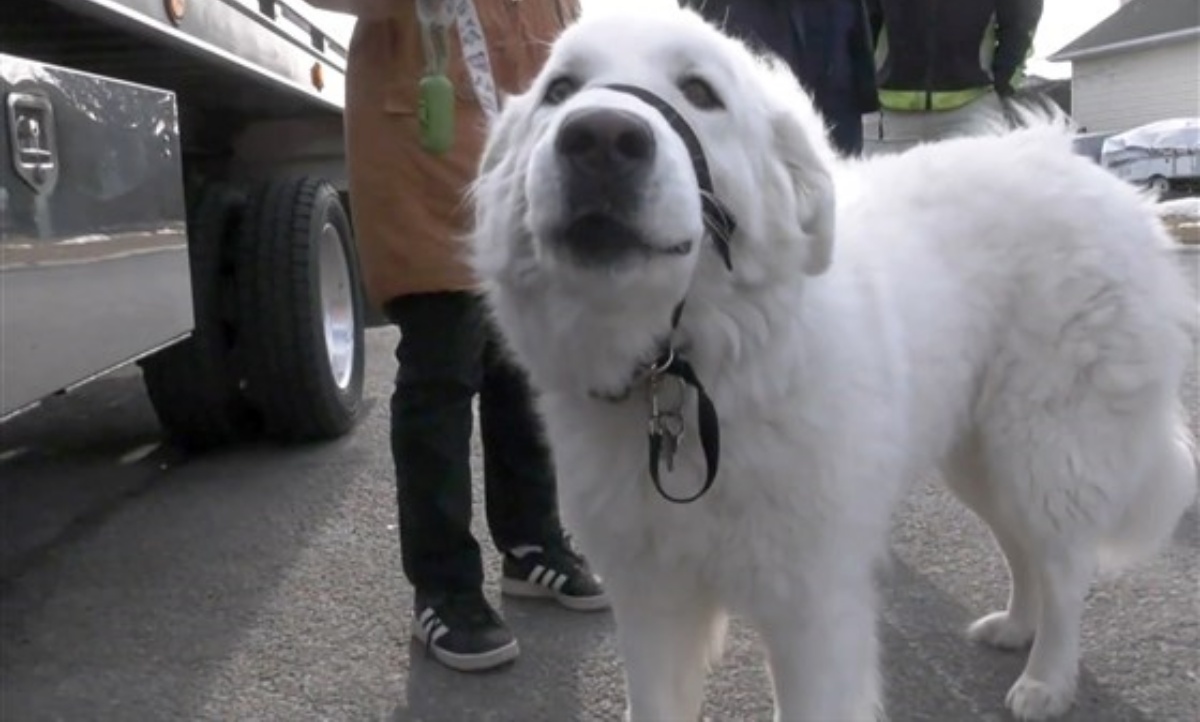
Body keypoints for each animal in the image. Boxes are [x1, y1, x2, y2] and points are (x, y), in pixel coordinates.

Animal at [463, 7, 1195, 719]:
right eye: (560, 91)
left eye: (700, 93)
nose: (600, 137)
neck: (689, 375)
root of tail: (1105, 183)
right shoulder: (652, 602)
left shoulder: (812, 610)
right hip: (980, 455)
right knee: (1024, 550)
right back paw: (1016, 628)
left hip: (1046, 448)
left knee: (1066, 567)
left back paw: (1046, 680)